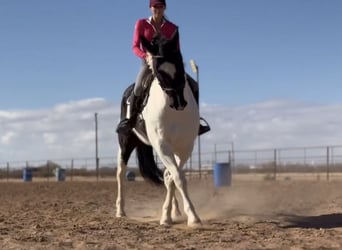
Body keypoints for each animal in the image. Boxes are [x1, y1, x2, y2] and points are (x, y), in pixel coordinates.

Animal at [115, 33, 200, 227]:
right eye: (158, 71)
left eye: (180, 63)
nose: (179, 103)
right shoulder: (162, 145)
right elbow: (178, 178)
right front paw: (192, 216)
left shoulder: (185, 147)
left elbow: (172, 177)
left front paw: (170, 214)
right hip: (126, 142)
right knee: (121, 173)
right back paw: (120, 211)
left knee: (167, 175)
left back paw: (175, 210)